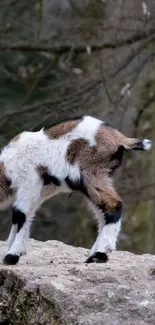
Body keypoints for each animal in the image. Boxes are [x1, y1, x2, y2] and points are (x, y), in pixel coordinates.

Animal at [0, 115, 151, 264]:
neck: (6, 168)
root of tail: (119, 138)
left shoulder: (29, 183)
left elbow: (20, 214)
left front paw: (12, 255)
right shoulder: (40, 193)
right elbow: (25, 215)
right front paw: (14, 250)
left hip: (90, 174)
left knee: (112, 205)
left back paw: (100, 254)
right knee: (102, 215)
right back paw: (93, 255)